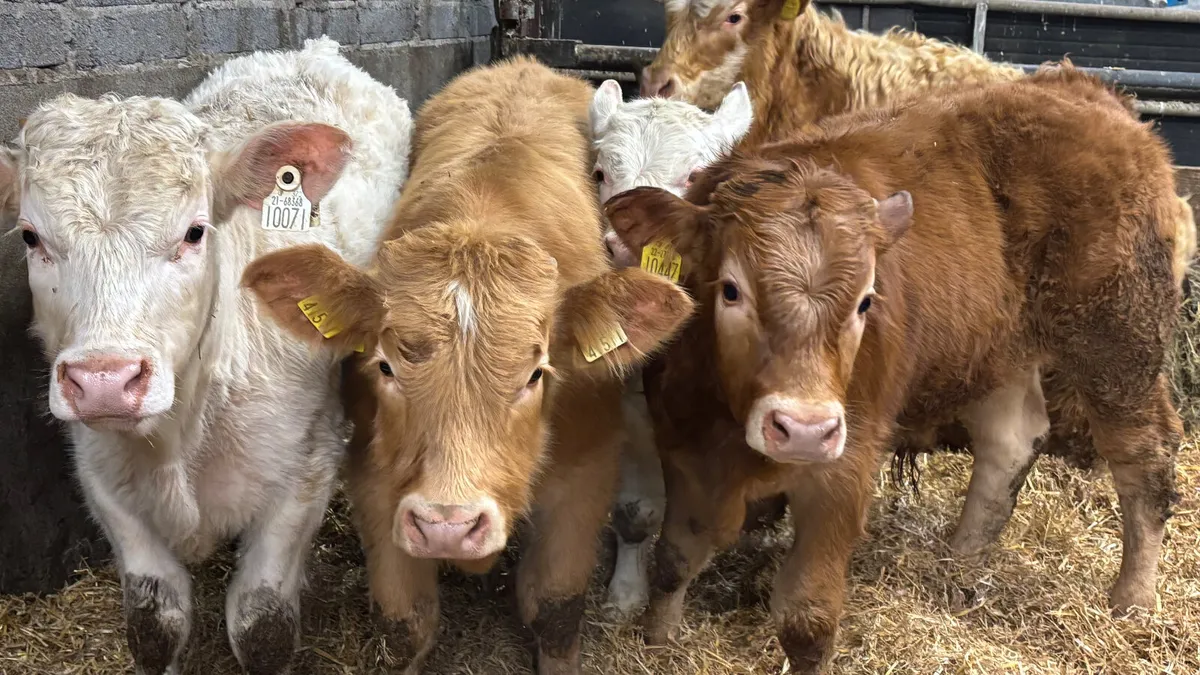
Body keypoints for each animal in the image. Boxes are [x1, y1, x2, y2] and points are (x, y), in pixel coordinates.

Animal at [0, 37, 412, 674]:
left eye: (194, 232)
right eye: (30, 236)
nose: (104, 381)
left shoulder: (306, 471)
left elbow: (262, 626)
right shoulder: (104, 481)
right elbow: (155, 626)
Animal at [241, 56, 695, 675]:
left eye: (536, 373)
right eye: (385, 367)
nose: (448, 527)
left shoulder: (585, 474)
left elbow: (556, 611)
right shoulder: (377, 480)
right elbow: (405, 623)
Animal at [604, 65, 1183, 673]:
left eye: (866, 300)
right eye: (731, 290)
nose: (803, 428)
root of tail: (1086, 90)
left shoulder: (846, 459)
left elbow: (808, 617)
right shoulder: (682, 440)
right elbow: (675, 558)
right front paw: (659, 639)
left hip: (1119, 341)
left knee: (1145, 456)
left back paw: (1132, 600)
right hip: (1003, 345)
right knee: (1010, 440)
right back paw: (958, 561)